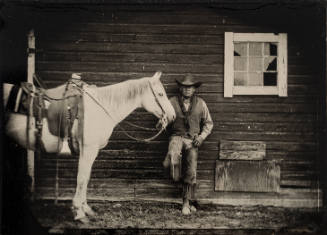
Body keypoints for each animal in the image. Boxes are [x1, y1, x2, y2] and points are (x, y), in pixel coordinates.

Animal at [3, 70, 177, 221]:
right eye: (160, 94)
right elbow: (81, 178)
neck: (99, 109)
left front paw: (86, 208)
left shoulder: (90, 151)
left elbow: (86, 178)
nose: (173, 116)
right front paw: (79, 212)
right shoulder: (88, 149)